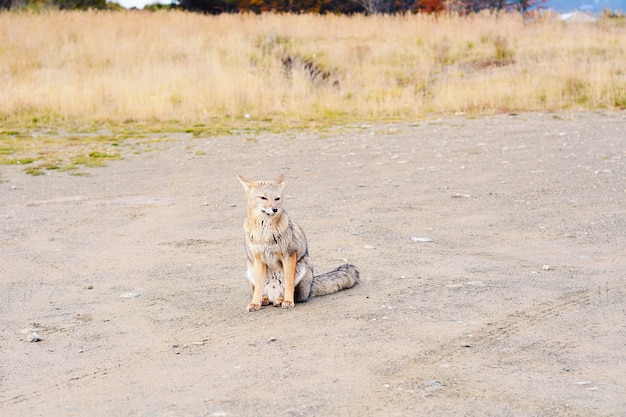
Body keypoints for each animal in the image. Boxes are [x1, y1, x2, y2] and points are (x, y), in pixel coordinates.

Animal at [236, 173, 358, 312]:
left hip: (303, 265)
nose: (275, 209)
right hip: (250, 268)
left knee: (294, 295)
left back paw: (281, 300)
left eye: (277, 198)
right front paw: (255, 303)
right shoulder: (258, 259)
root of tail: (310, 288)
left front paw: (288, 301)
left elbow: (289, 283)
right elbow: (258, 287)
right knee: (263, 292)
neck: (265, 234)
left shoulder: (289, 254)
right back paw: (265, 299)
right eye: (263, 197)